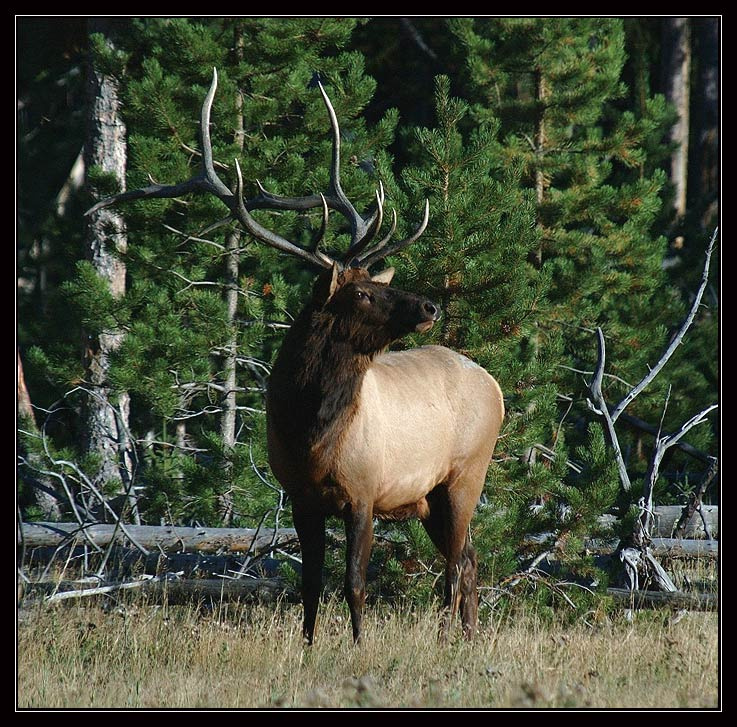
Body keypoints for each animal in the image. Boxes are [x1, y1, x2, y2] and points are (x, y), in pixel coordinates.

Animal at [88, 69, 505, 644]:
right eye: (361, 293)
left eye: (377, 283)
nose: (428, 305)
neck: (312, 434)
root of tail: (496, 387)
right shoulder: (302, 499)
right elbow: (309, 585)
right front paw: (308, 647)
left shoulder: (364, 492)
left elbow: (354, 583)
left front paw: (359, 646)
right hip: (429, 497)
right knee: (469, 558)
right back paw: (462, 636)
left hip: (465, 475)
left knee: (460, 562)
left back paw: (458, 638)